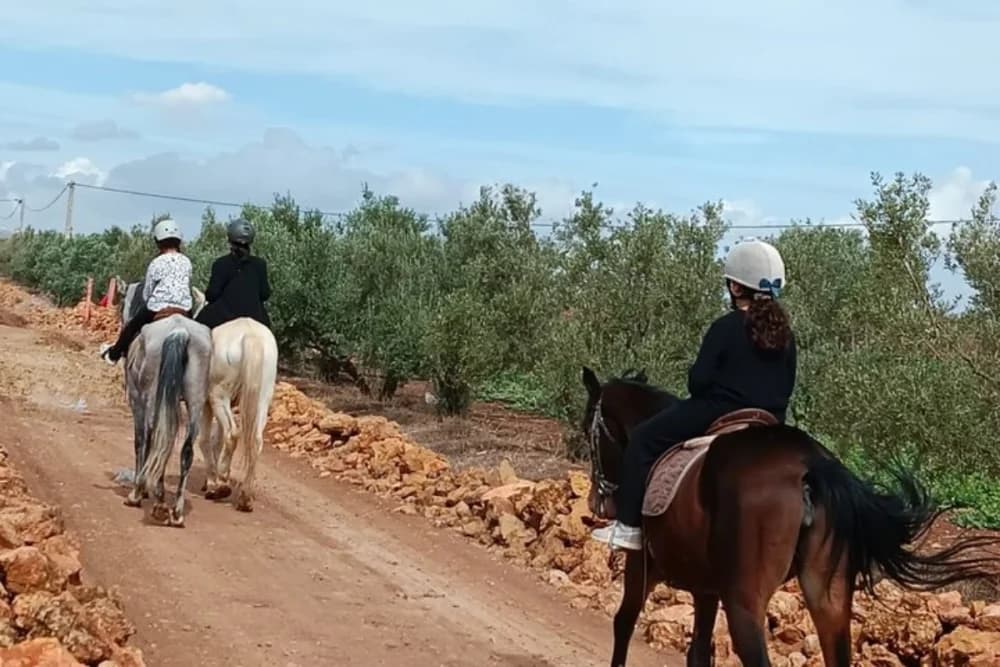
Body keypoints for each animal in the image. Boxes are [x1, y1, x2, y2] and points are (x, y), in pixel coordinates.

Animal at [118, 280, 212, 527]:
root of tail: (179, 331)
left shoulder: (136, 399)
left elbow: (141, 440)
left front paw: (139, 490)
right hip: (196, 400)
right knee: (186, 448)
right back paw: (177, 511)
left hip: (153, 396)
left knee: (160, 438)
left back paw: (157, 502)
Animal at [197, 316, 278, 513]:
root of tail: (250, 335)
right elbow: (216, 441)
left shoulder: (206, 404)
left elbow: (204, 440)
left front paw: (212, 482)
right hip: (262, 400)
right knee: (256, 441)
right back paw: (245, 497)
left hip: (219, 397)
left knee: (232, 434)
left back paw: (222, 483)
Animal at [580, 367, 1000, 667]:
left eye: (589, 432)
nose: (596, 503)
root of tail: (809, 464)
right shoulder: (706, 589)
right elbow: (699, 653)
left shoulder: (642, 566)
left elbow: (624, 623)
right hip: (828, 597)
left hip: (745, 601)